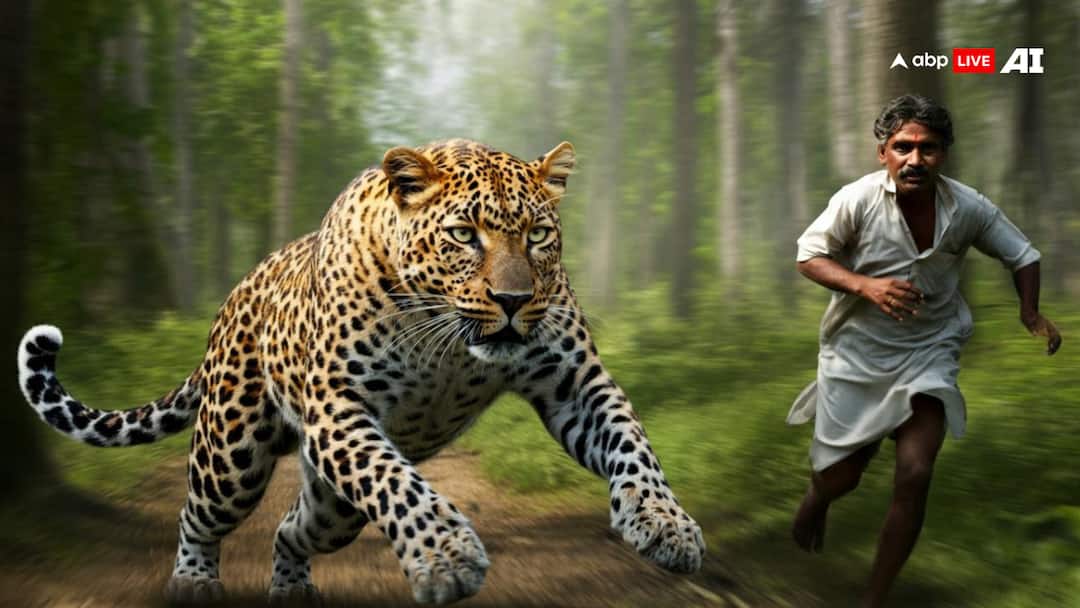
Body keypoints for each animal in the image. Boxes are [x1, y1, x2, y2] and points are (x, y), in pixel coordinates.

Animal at [17, 139, 706, 605]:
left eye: (538, 235)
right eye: (465, 234)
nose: (513, 300)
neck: (446, 336)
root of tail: (235, 295)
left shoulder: (577, 383)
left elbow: (633, 445)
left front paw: (666, 525)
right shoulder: (339, 410)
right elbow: (398, 484)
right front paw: (447, 557)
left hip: (333, 508)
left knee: (292, 529)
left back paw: (293, 588)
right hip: (232, 454)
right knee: (200, 514)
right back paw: (192, 581)